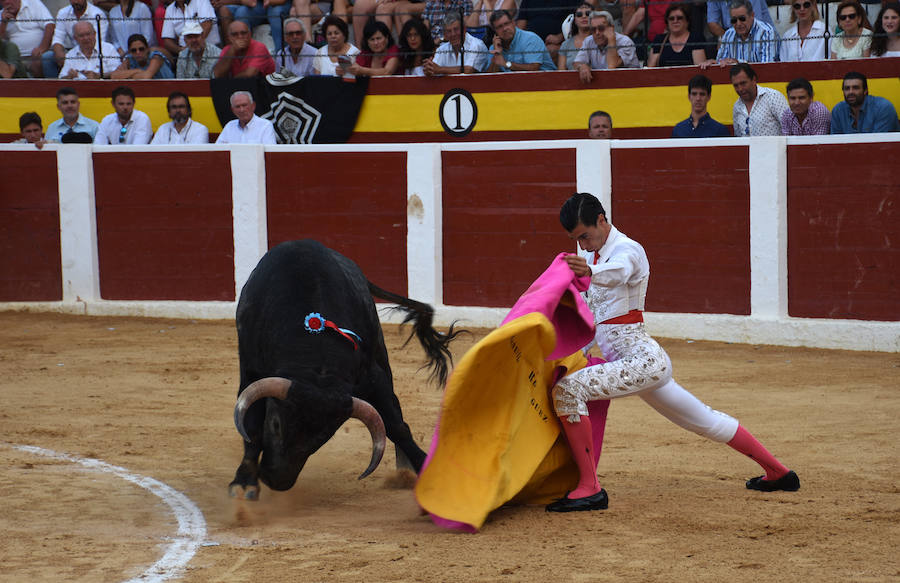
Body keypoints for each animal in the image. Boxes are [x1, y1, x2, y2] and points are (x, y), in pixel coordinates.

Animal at [229, 240, 460, 500]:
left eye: (322, 436)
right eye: (276, 424)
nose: (274, 480)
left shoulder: (372, 377)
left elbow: (396, 425)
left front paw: (424, 468)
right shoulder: (252, 370)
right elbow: (251, 426)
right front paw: (244, 482)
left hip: (381, 354)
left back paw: (405, 470)